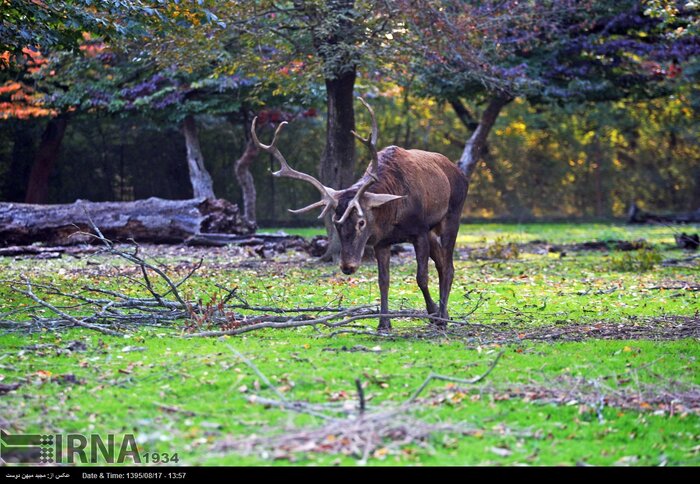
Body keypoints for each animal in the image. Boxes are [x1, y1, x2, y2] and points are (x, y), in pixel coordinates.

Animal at [249, 98, 468, 332]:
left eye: (361, 222)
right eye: (335, 222)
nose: (348, 266)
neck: (393, 215)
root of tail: (461, 173)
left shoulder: (419, 231)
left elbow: (421, 278)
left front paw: (436, 315)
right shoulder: (383, 241)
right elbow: (384, 280)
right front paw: (384, 323)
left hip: (452, 215)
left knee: (448, 267)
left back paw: (443, 316)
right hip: (433, 231)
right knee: (442, 263)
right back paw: (441, 312)